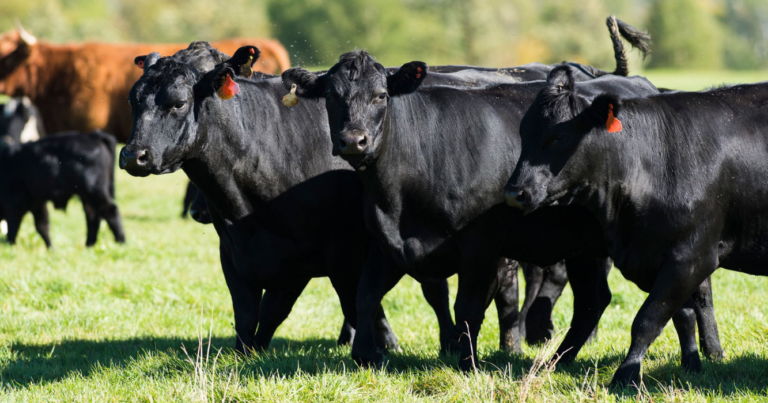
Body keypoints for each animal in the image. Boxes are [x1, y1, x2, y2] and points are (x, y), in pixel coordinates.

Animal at [504, 66, 756, 388]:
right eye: (523, 133)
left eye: (559, 136)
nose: (514, 193)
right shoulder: (652, 258)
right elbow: (681, 315)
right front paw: (691, 366)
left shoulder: (693, 256)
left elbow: (647, 319)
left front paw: (625, 376)